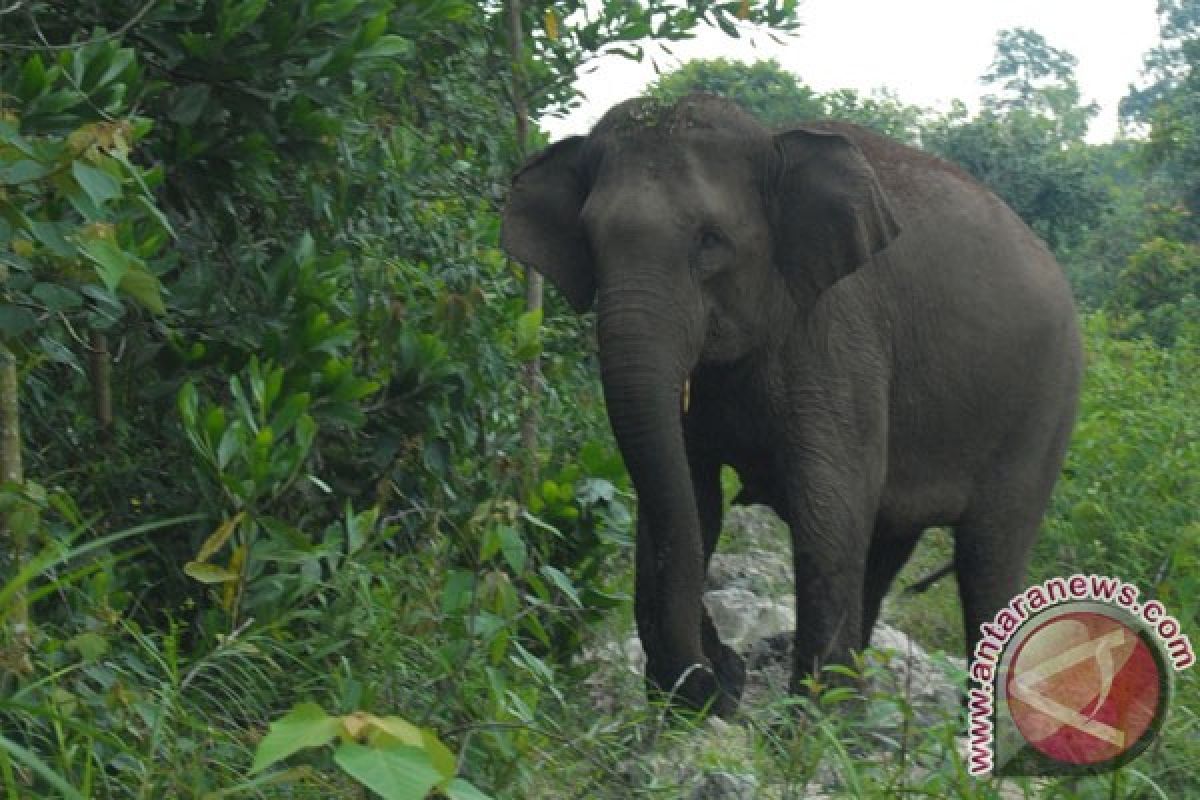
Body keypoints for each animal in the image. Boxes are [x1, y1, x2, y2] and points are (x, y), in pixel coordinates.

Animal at [501, 94, 1084, 714]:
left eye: (710, 241)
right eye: (588, 239)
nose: (722, 673)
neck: (773, 141)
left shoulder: (839, 332)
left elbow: (828, 506)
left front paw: (791, 725)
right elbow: (691, 494)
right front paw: (692, 703)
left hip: (1046, 410)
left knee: (986, 558)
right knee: (885, 549)